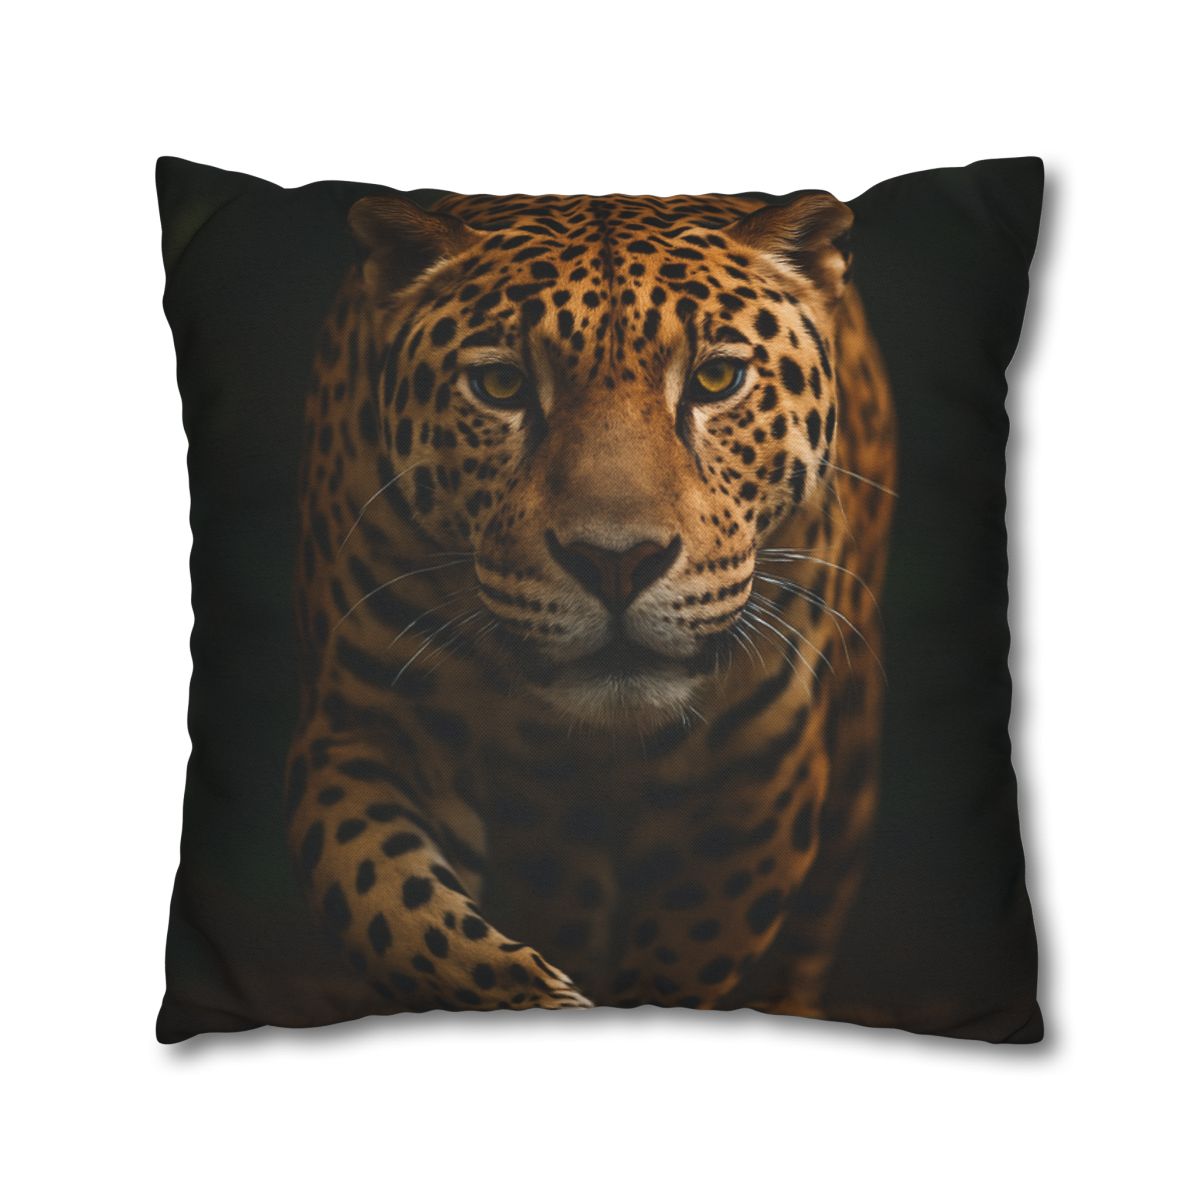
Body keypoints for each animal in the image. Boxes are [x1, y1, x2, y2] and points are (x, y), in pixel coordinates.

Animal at [285, 187, 896, 1018]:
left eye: (716, 380)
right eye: (502, 387)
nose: (616, 562)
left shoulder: (761, 777)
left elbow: (688, 958)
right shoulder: (360, 736)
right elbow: (409, 920)